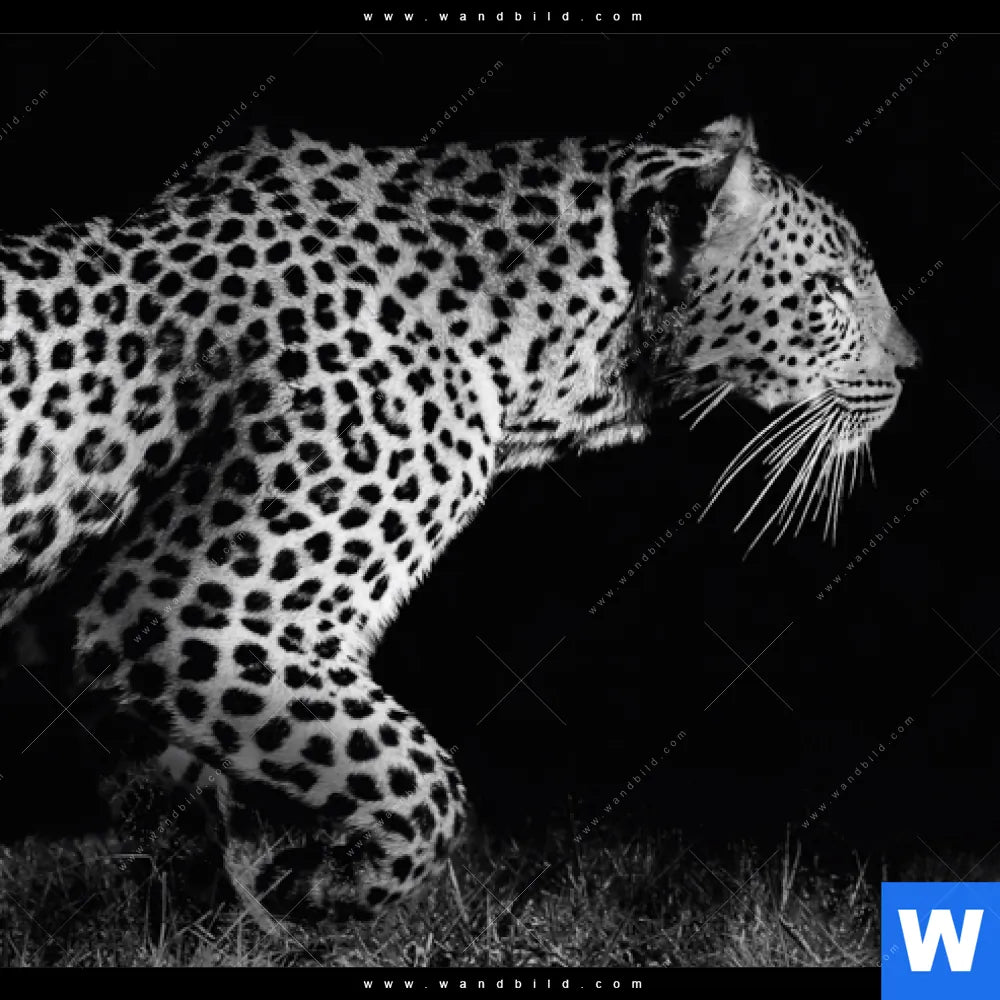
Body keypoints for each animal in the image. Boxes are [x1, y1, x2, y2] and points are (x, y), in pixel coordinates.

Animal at [0, 115, 920, 924]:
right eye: (832, 288)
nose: (914, 365)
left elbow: (180, 810)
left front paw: (226, 920)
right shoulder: (197, 611)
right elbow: (420, 777)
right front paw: (328, 888)